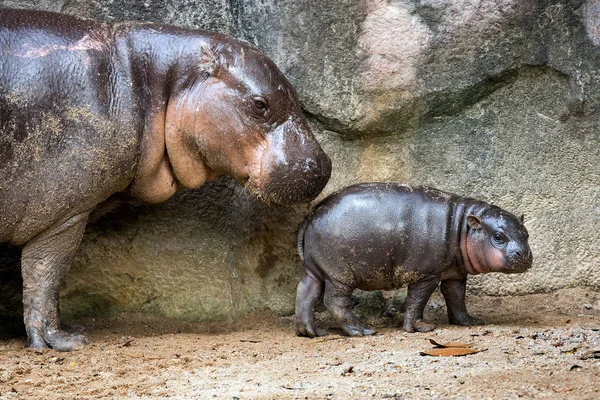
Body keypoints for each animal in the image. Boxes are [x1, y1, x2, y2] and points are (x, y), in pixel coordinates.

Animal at [0, 9, 330, 352]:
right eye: (259, 104)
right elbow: (45, 275)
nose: (323, 165)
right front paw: (65, 340)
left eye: (295, 96)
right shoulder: (64, 212)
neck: (147, 78)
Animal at [292, 182, 532, 338]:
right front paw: (422, 328)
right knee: (335, 302)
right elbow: (417, 300)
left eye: (527, 233)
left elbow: (456, 298)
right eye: (498, 236)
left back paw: (311, 332)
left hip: (316, 270)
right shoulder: (426, 274)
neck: (462, 226)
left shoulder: (454, 273)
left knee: (305, 292)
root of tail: (311, 216)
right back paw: (363, 331)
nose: (525, 254)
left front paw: (470, 322)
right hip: (339, 274)